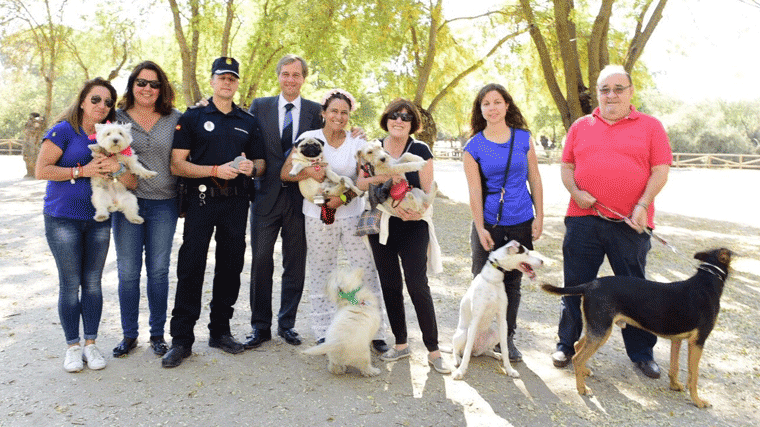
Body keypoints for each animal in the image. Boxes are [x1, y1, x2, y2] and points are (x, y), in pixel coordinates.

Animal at [454, 241, 544, 382]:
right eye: (526, 253)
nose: (542, 261)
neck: (494, 280)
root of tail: (476, 349)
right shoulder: (475, 319)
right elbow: (467, 350)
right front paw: (461, 371)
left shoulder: (502, 319)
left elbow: (505, 349)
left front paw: (509, 370)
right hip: (463, 333)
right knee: (458, 351)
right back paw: (458, 360)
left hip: (495, 333)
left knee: (484, 351)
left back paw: (495, 354)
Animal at [544, 247, 732, 408]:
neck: (707, 281)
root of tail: (589, 285)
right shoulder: (698, 342)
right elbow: (693, 376)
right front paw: (698, 401)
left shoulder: (677, 340)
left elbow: (675, 368)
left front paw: (675, 386)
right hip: (601, 332)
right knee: (577, 358)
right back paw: (582, 389)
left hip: (597, 329)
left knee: (577, 346)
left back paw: (584, 372)